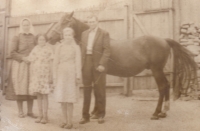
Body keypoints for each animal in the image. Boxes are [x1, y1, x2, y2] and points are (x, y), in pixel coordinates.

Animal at [46, 12, 197, 119]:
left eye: (65, 22)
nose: (49, 37)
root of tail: (164, 40)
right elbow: (95, 90)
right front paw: (95, 112)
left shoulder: (101, 72)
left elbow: (98, 91)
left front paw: (97, 113)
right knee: (166, 87)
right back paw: (163, 112)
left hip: (157, 70)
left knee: (163, 87)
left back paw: (156, 113)